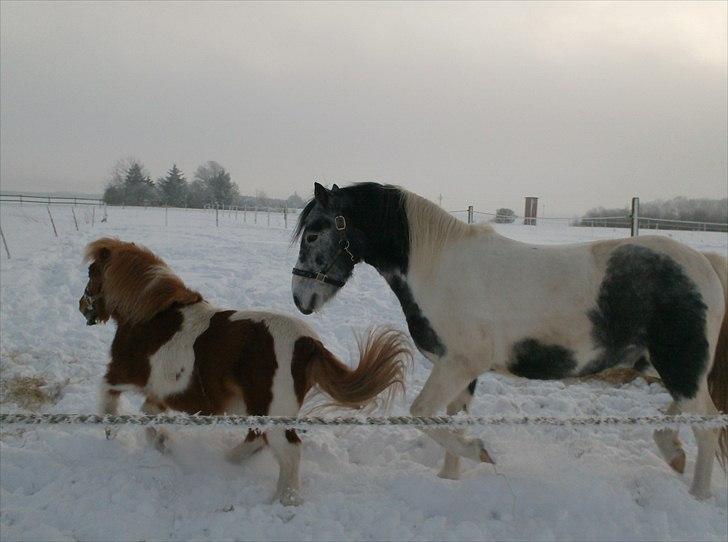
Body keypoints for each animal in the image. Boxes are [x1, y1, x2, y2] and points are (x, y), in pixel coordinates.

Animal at [80, 238, 412, 506]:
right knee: (258, 438)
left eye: (91, 273)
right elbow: (150, 414)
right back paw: (230, 461)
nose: (84, 307)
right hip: (257, 406)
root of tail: (308, 343)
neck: (154, 318)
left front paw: (112, 432)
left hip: (270, 409)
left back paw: (285, 501)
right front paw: (161, 443)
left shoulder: (123, 374)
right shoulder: (161, 393)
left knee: (288, 450)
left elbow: (108, 398)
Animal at [292, 183, 728, 502]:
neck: (437, 267)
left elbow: (421, 413)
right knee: (686, 414)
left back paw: (698, 495)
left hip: (680, 365)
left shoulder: (458, 365)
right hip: (667, 366)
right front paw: (448, 478)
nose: (300, 298)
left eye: (313, 233)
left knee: (707, 427)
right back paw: (672, 452)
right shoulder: (458, 372)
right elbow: (448, 418)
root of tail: (702, 264)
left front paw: (478, 452)